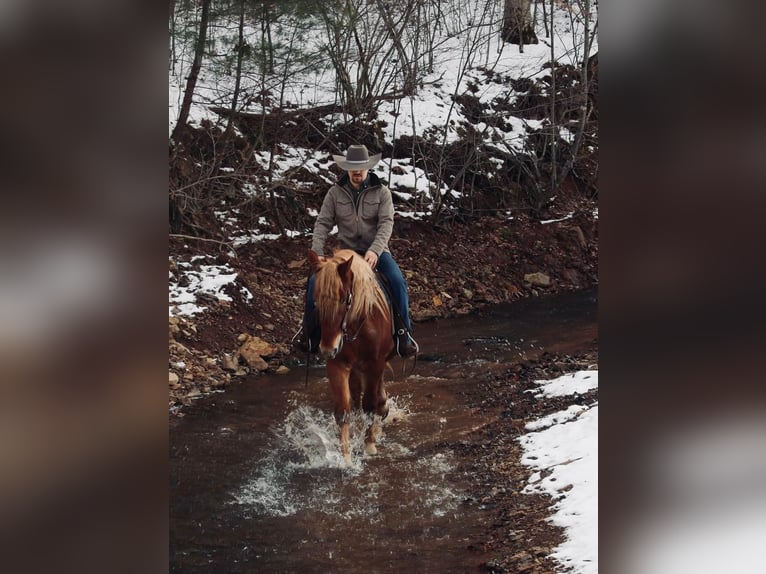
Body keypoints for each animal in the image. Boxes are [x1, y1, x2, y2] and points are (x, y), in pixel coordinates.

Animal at [308, 250, 392, 466]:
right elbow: (344, 409)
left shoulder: (375, 363)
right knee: (355, 399)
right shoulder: (338, 364)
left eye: (344, 300)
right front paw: (346, 457)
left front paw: (369, 444)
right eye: (316, 301)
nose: (327, 349)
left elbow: (370, 404)